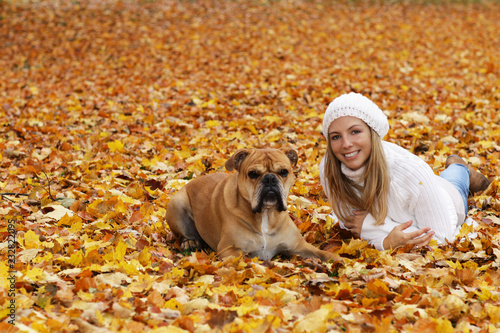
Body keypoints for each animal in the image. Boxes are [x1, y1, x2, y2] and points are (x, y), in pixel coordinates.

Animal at [166, 147, 338, 260]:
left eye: (283, 172)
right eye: (253, 174)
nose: (270, 178)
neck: (266, 215)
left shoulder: (299, 246)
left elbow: (323, 254)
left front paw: (339, 262)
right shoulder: (230, 249)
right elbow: (249, 261)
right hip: (177, 203)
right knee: (183, 234)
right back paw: (190, 242)